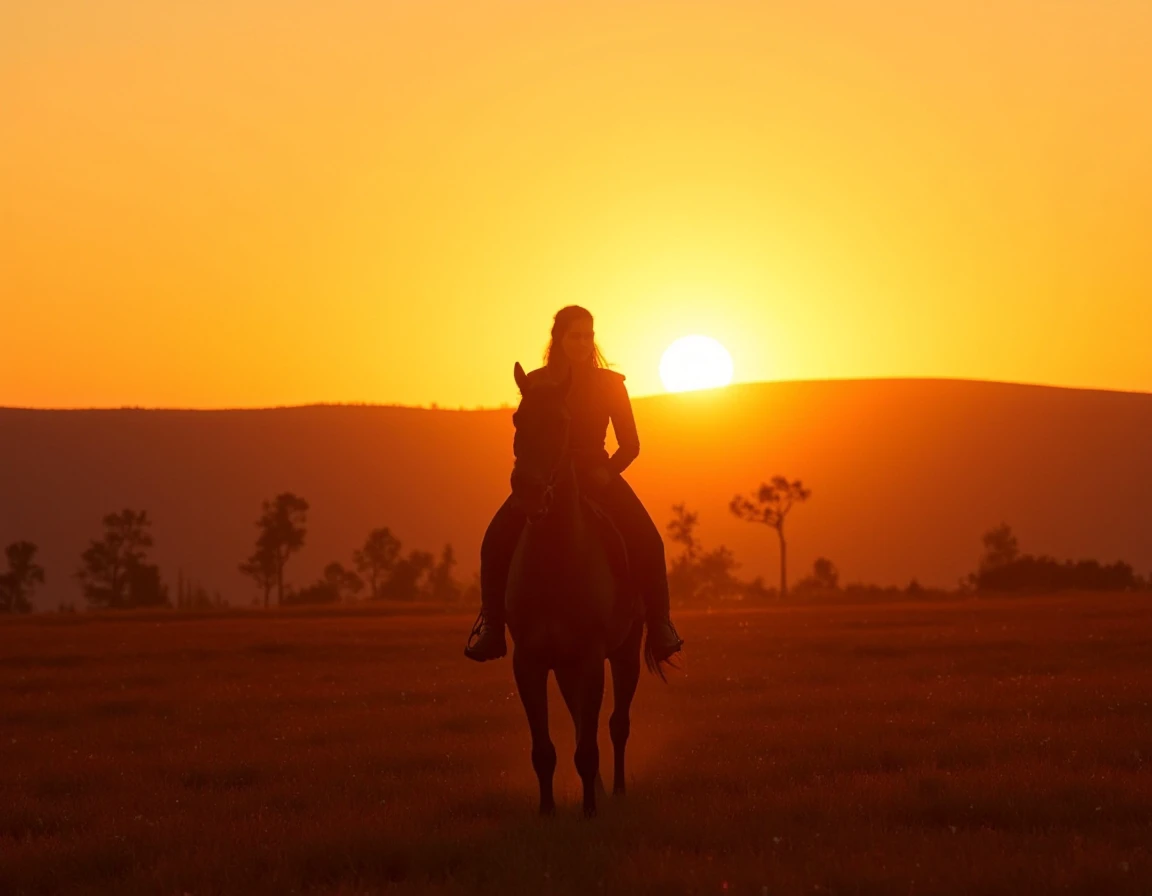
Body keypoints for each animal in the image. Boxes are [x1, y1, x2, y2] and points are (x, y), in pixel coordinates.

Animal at [506, 359, 658, 815]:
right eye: (517, 418)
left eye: (562, 421)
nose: (529, 491)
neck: (556, 563)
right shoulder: (531, 661)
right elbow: (545, 749)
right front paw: (548, 813)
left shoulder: (591, 658)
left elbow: (589, 746)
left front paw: (590, 813)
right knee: (579, 723)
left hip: (624, 652)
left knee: (617, 725)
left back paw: (618, 791)